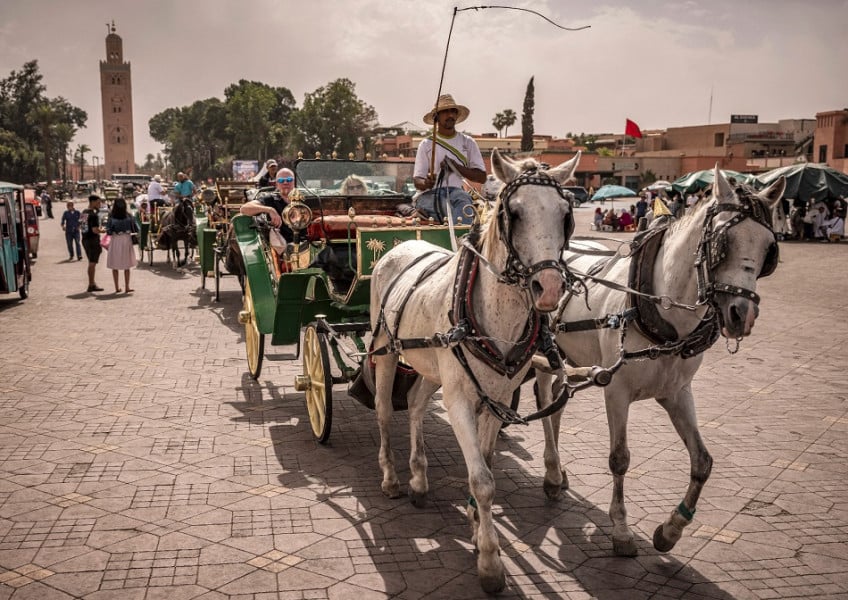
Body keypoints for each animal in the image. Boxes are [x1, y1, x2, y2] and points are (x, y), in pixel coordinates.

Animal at [368, 149, 580, 592]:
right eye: (513, 212)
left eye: (565, 213)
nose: (549, 288)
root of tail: (401, 246)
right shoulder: (460, 400)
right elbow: (483, 480)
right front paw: (490, 562)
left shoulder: (496, 398)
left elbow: (484, 462)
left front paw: (474, 524)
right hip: (386, 352)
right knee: (383, 409)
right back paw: (392, 478)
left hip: (431, 367)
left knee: (414, 403)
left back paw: (418, 479)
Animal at [540, 166, 784, 556]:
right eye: (723, 244)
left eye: (768, 251)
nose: (741, 315)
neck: (660, 311)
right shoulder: (616, 391)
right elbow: (619, 459)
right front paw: (621, 530)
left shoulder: (677, 392)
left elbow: (703, 461)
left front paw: (671, 530)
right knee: (546, 405)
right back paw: (550, 473)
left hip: (570, 357)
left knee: (558, 407)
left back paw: (559, 473)